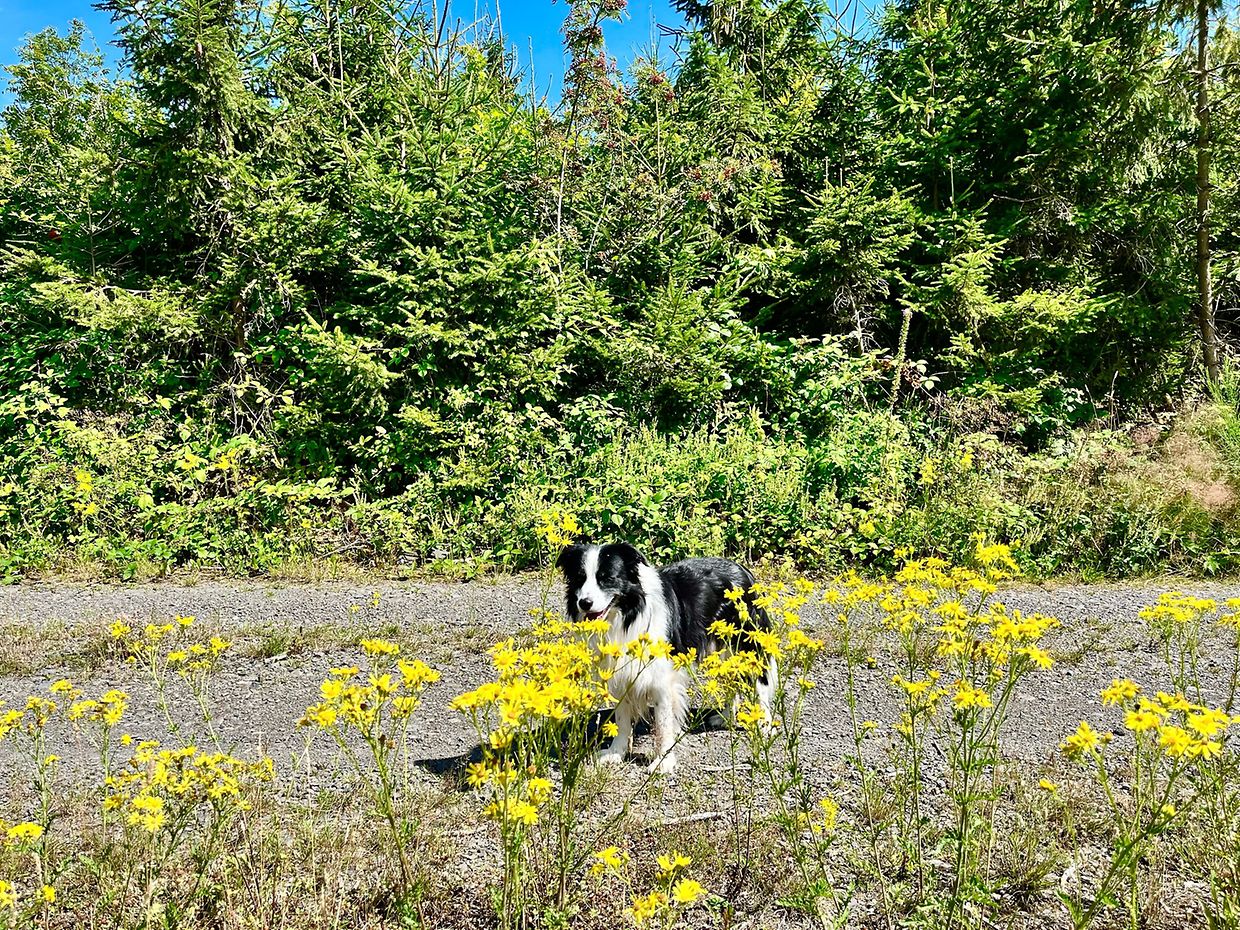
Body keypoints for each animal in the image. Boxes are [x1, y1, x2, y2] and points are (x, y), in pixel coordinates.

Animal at [556, 542, 777, 774]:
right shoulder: (621, 674)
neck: (627, 615)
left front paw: (662, 761)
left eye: (607, 578)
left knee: (761, 681)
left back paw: (764, 724)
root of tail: (742, 569)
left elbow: (662, 725)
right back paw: (726, 716)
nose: (584, 603)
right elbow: (622, 719)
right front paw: (616, 752)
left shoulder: (662, 680)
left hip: (747, 643)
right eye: (579, 578)